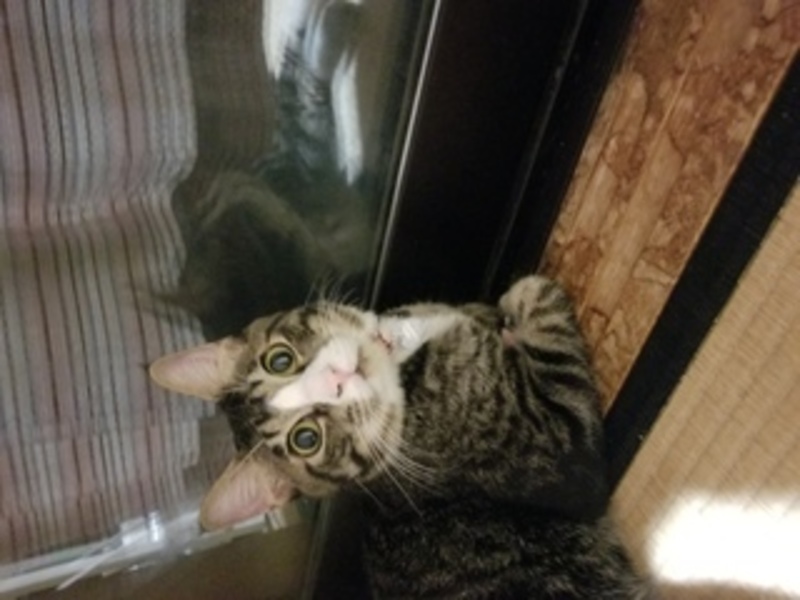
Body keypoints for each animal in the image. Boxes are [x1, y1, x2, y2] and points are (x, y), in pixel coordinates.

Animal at [149, 275, 652, 598]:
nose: (336, 379)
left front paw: (491, 313)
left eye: (279, 360)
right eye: (305, 440)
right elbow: (543, 304)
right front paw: (518, 298)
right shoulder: (563, 453)